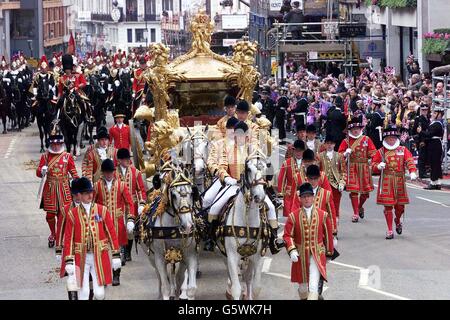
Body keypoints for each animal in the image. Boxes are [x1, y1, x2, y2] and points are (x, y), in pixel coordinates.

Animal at [140, 165, 198, 300]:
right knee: (160, 277)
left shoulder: (189, 256)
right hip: (152, 258)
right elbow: (165, 285)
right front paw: (167, 293)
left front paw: (181, 293)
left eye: (191, 193)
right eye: (174, 195)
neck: (172, 230)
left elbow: (186, 283)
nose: (188, 226)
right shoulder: (159, 258)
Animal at [223, 151, 268, 300]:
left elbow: (256, 287)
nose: (259, 196)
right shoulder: (231, 255)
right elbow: (236, 287)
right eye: (248, 169)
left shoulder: (258, 256)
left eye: (266, 167)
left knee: (247, 277)